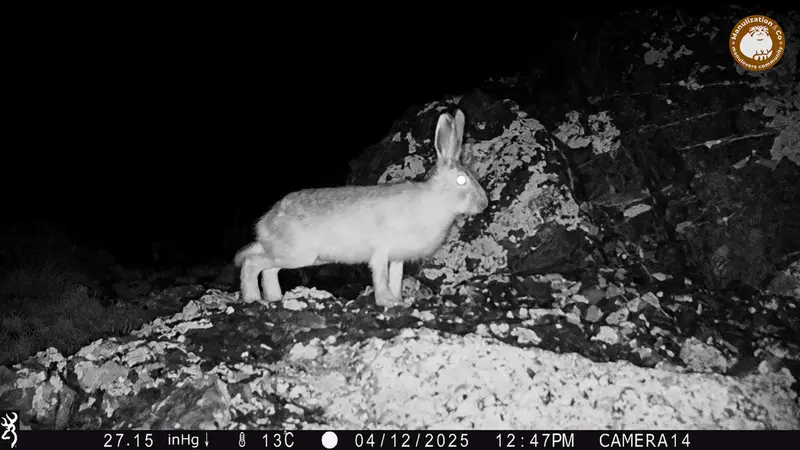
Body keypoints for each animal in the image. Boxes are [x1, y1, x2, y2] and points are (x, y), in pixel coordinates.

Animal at [234, 108, 488, 308]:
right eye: (462, 180)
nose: (483, 204)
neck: (436, 200)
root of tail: (264, 223)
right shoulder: (381, 251)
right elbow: (381, 276)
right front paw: (386, 301)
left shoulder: (398, 257)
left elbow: (395, 278)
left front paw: (398, 300)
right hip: (296, 253)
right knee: (252, 263)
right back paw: (254, 299)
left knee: (268, 269)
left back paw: (275, 298)